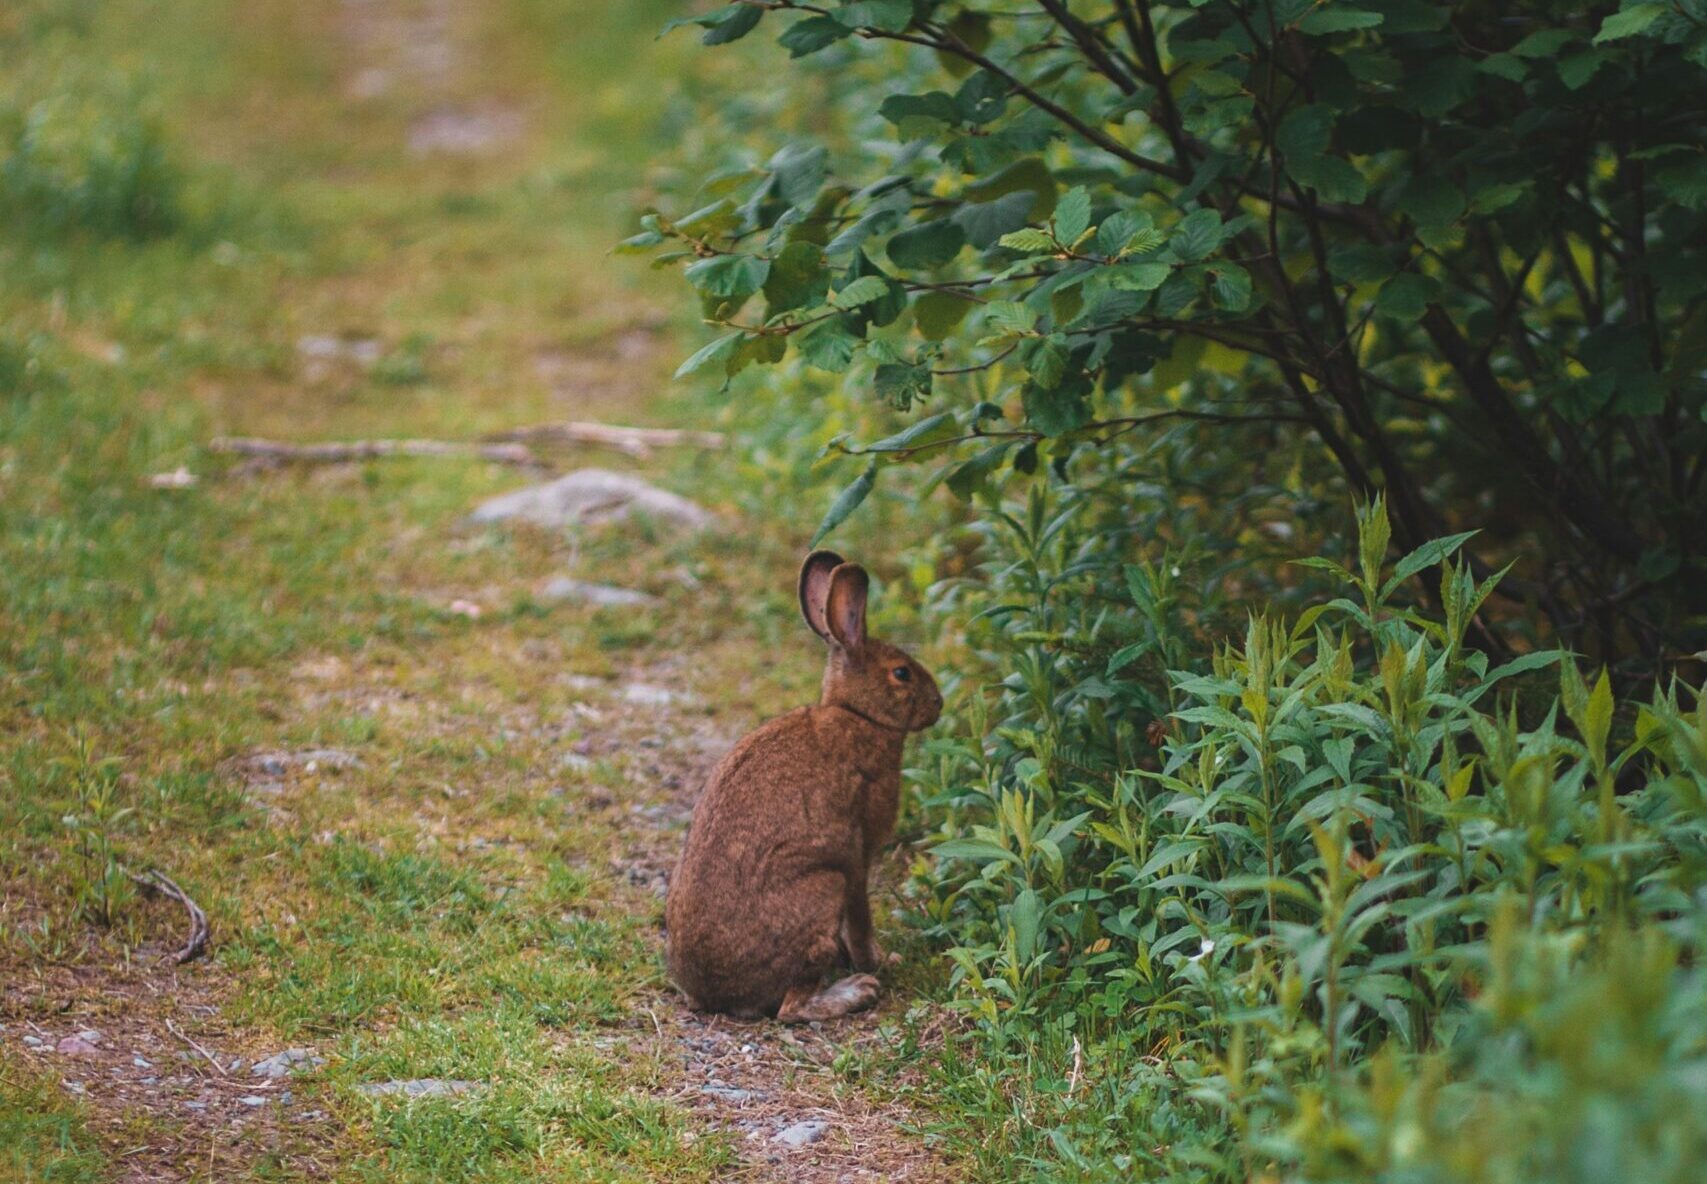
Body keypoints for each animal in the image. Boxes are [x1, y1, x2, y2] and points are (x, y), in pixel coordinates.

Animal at [664, 550, 942, 1023]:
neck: (857, 714)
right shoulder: (857, 855)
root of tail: (714, 996)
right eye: (902, 673)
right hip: (822, 889)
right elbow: (860, 916)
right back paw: (856, 990)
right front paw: (879, 961)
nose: (938, 704)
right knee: (790, 1009)